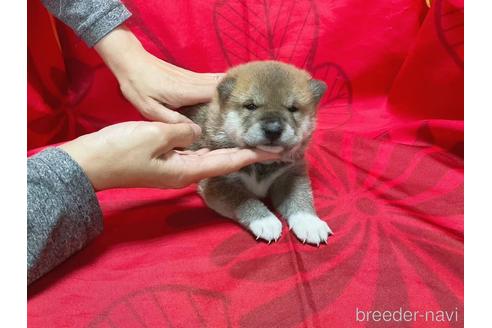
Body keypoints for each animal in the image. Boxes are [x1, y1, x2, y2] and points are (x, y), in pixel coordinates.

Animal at [186, 61, 332, 246]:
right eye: (251, 106)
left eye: (293, 108)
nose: (273, 129)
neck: (262, 165)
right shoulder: (217, 184)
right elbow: (244, 200)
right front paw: (265, 220)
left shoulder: (291, 174)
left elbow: (299, 197)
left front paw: (309, 222)